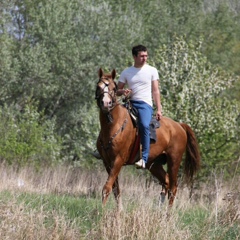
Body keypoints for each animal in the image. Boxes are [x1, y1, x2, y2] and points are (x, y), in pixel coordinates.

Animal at [94, 68, 200, 209]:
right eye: (98, 87)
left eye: (113, 87)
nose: (106, 103)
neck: (113, 125)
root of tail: (179, 125)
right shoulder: (107, 162)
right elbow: (115, 189)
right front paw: (118, 211)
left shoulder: (118, 160)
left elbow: (107, 187)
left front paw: (101, 211)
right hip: (154, 164)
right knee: (166, 182)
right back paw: (159, 208)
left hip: (174, 161)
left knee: (173, 187)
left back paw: (167, 213)